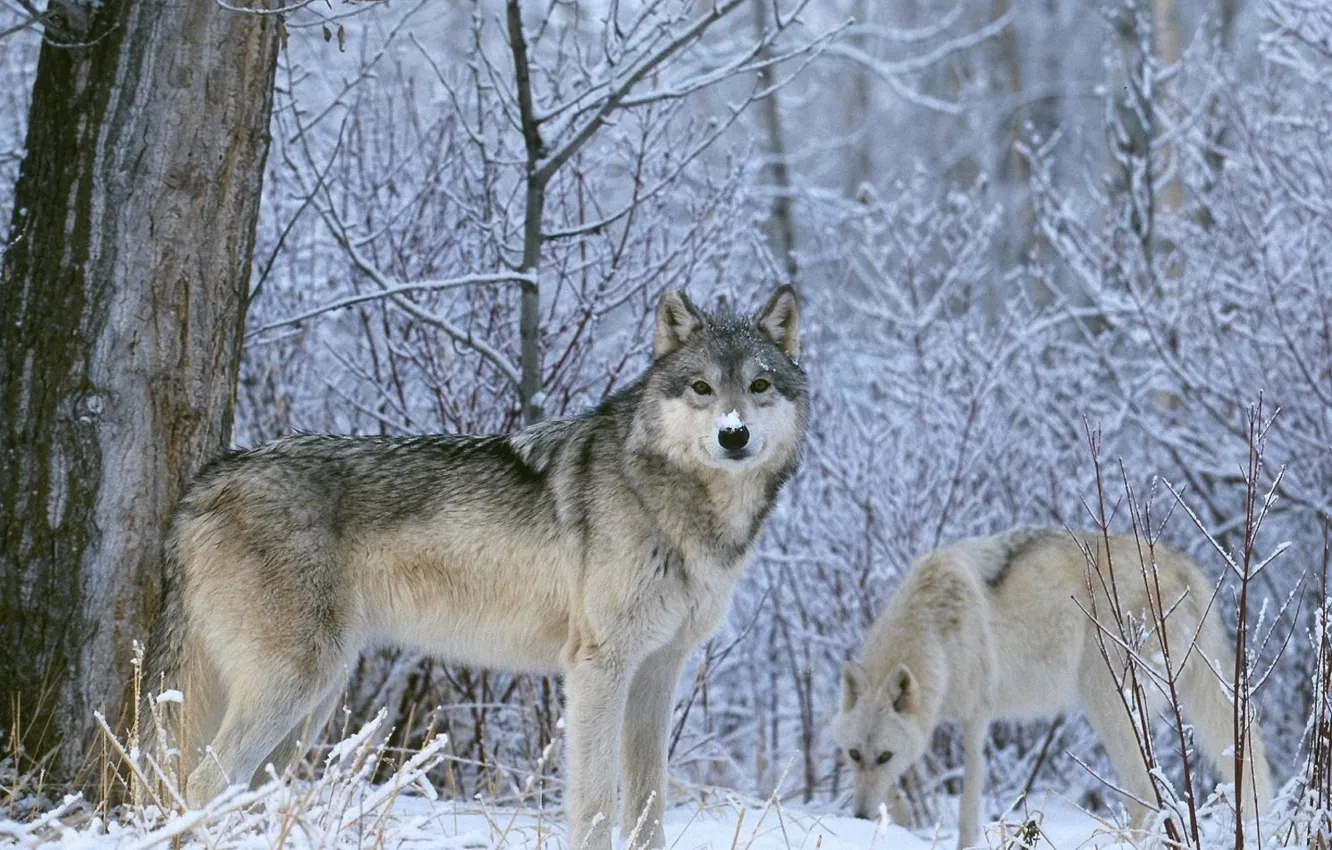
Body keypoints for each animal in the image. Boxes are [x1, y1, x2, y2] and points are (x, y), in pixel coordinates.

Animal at [149, 287, 804, 850]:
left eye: (759, 385)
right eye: (701, 387)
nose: (734, 434)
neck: (678, 506)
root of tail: (206, 480)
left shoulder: (658, 672)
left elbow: (649, 811)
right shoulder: (598, 668)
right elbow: (595, 805)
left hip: (312, 704)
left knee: (243, 793)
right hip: (295, 687)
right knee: (201, 783)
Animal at [836, 530, 1273, 847]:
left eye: (883, 756)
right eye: (854, 755)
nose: (859, 815)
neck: (935, 630)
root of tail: (1181, 565)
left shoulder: (975, 719)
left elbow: (966, 808)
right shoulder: (928, 725)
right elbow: (904, 787)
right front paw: (897, 818)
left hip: (1107, 706)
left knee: (1146, 795)